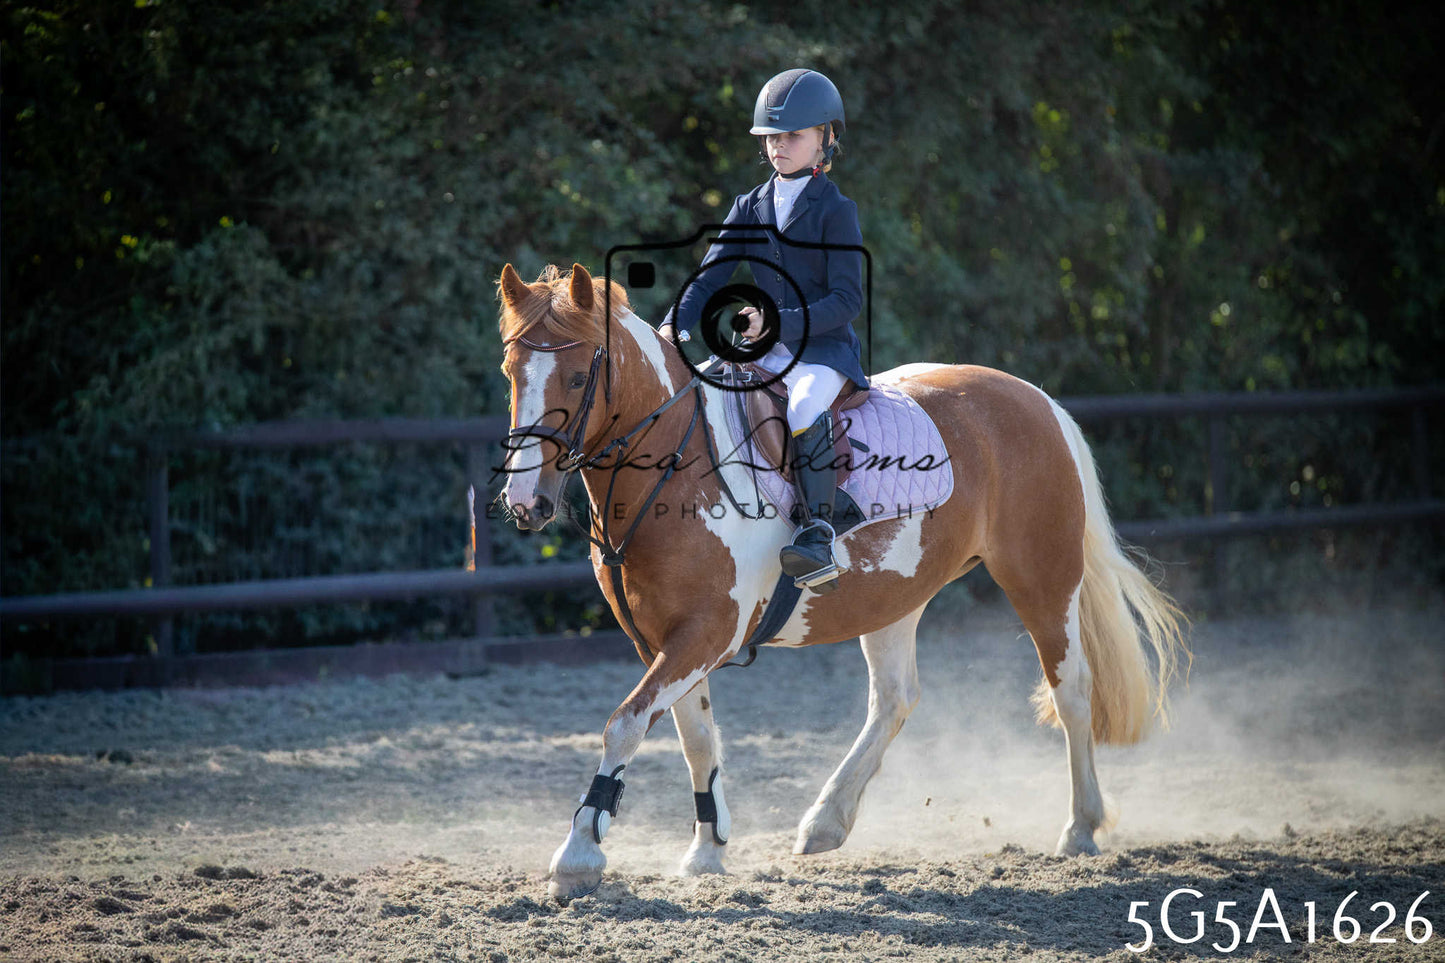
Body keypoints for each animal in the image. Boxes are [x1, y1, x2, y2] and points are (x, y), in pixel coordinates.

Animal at [495, 262, 1187, 902]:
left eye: (578, 377)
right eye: (511, 372)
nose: (526, 502)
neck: (681, 465)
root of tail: (1037, 401)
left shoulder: (705, 635)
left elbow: (625, 724)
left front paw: (579, 854)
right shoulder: (664, 640)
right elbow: (695, 739)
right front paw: (707, 853)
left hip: (1042, 578)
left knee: (1072, 691)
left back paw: (1080, 829)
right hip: (895, 597)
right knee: (895, 699)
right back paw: (825, 822)